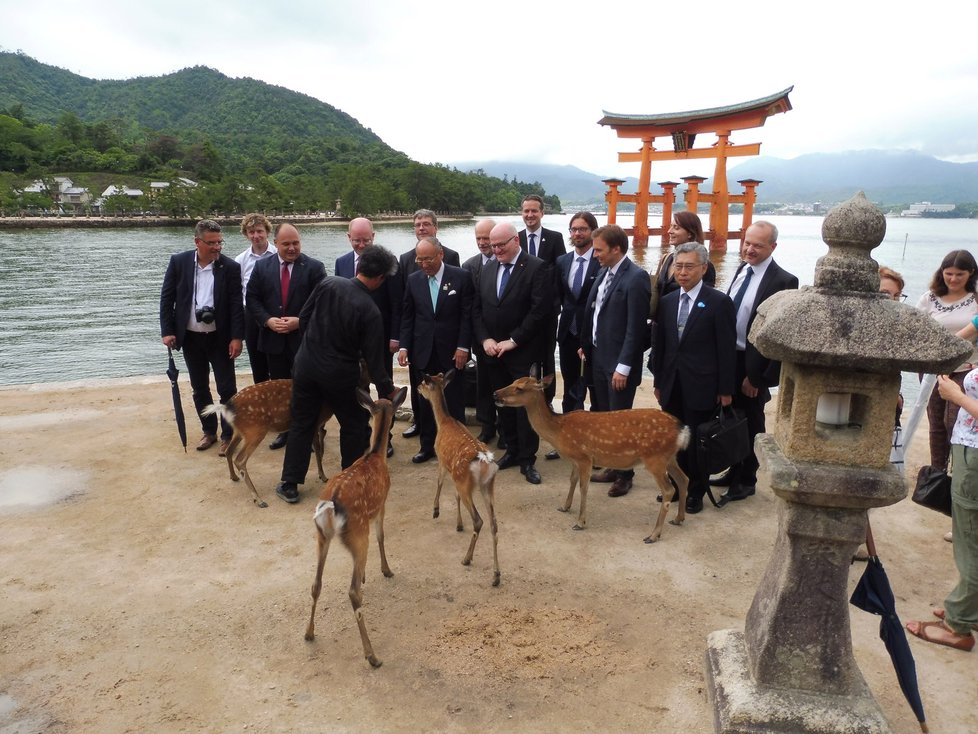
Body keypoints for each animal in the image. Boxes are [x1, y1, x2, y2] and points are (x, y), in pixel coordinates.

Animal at [304, 388, 406, 668]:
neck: (375, 455)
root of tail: (331, 504)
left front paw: (367, 574)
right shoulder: (382, 504)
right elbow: (382, 536)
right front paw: (386, 570)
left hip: (321, 536)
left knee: (316, 583)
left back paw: (308, 633)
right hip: (358, 532)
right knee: (352, 592)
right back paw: (372, 655)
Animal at [416, 370, 500, 588]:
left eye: (423, 383)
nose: (417, 388)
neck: (444, 422)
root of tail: (485, 461)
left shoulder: (441, 459)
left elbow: (439, 483)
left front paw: (436, 510)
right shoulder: (455, 475)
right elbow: (454, 496)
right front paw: (458, 524)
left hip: (466, 482)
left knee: (479, 520)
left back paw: (467, 558)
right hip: (487, 485)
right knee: (493, 523)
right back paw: (496, 575)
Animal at [492, 370, 692, 544]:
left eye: (520, 388)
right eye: (513, 381)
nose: (495, 394)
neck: (559, 431)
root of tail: (682, 430)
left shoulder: (585, 458)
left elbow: (583, 487)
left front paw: (580, 522)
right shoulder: (575, 460)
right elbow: (572, 480)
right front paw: (564, 507)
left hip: (655, 458)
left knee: (668, 490)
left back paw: (653, 535)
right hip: (669, 457)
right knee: (684, 479)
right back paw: (678, 518)